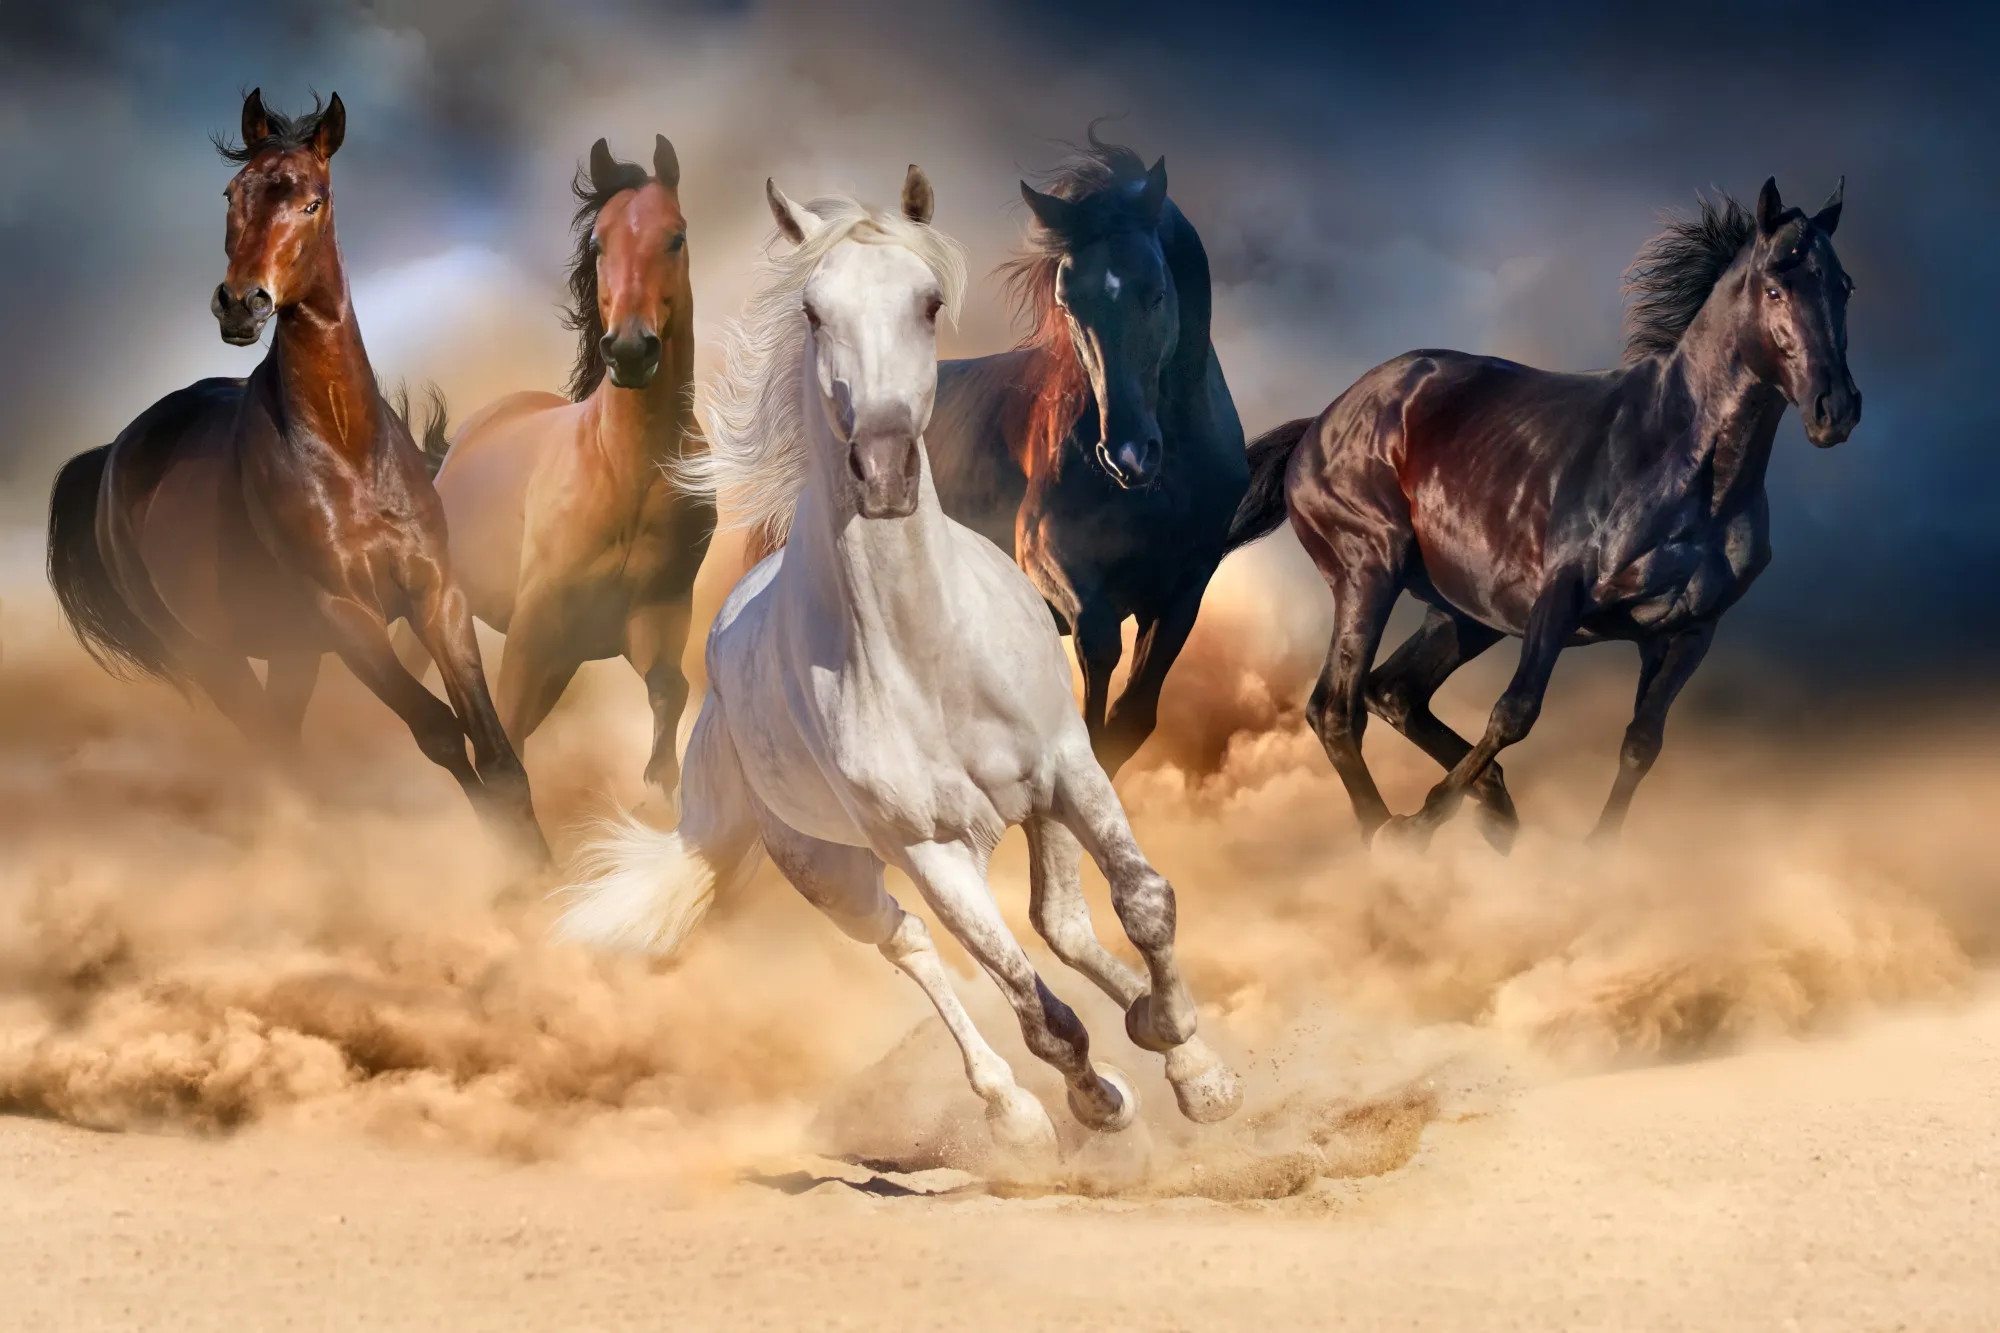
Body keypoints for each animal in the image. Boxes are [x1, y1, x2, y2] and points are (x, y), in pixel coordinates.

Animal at [44, 90, 546, 861]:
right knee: (275, 751)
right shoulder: (344, 613)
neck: (347, 450)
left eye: (313, 201)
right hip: (212, 656)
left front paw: (546, 873)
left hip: (288, 652)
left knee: (283, 740)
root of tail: (111, 456)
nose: (240, 303)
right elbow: (438, 732)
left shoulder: (437, 595)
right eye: (232, 193)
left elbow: (494, 751)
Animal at [408, 136, 710, 792]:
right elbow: (506, 736)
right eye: (598, 243)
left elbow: (670, 693)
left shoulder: (654, 617)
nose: (630, 349)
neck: (626, 472)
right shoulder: (536, 628)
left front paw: (657, 793)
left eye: (675, 237)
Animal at [923, 134, 1247, 778]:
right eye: (1069, 304)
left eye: (1157, 292)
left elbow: (1132, 717)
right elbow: (1097, 651)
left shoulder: (1185, 586)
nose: (1128, 454)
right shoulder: (1046, 554)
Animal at [1227, 177, 1860, 850]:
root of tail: (1319, 423)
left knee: (1393, 692)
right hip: (1368, 571)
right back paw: (1391, 835)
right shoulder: (1560, 596)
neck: (1684, 469)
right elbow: (1515, 712)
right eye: (1775, 287)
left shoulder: (1689, 631)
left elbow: (1642, 743)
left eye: (1843, 286)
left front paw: (1592, 854)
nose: (1836, 408)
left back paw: (1494, 808)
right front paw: (1423, 824)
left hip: (1462, 612)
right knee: (1336, 709)